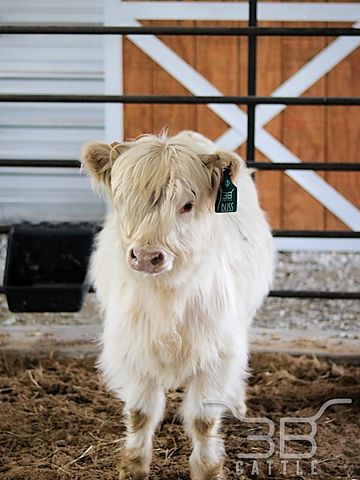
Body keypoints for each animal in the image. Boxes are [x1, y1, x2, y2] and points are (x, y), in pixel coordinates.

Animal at [81, 129, 272, 478]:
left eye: (187, 204)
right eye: (124, 200)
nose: (146, 257)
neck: (167, 299)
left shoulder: (216, 352)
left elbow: (203, 419)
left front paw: (208, 469)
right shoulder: (134, 348)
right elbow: (140, 413)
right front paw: (133, 466)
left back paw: (236, 403)